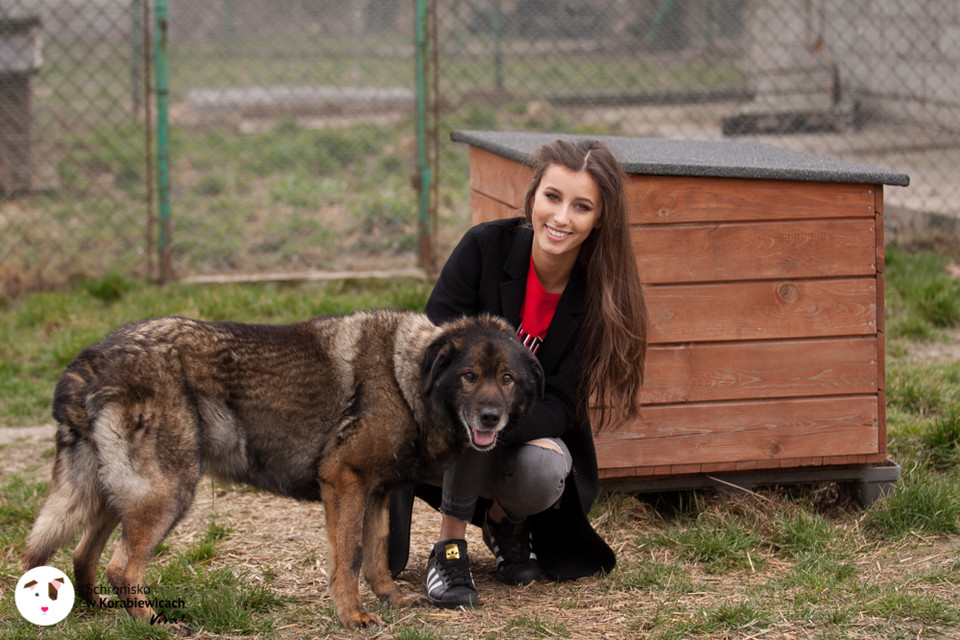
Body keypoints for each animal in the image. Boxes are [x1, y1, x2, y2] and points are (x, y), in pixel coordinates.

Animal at [22, 310, 544, 632]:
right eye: (469, 377)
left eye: (507, 379)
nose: (490, 419)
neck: (407, 376)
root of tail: (92, 358)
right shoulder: (344, 482)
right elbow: (348, 559)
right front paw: (353, 616)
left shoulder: (375, 493)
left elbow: (374, 556)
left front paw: (390, 599)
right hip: (167, 493)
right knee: (120, 566)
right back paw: (157, 624)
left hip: (117, 494)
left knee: (82, 553)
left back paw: (95, 609)